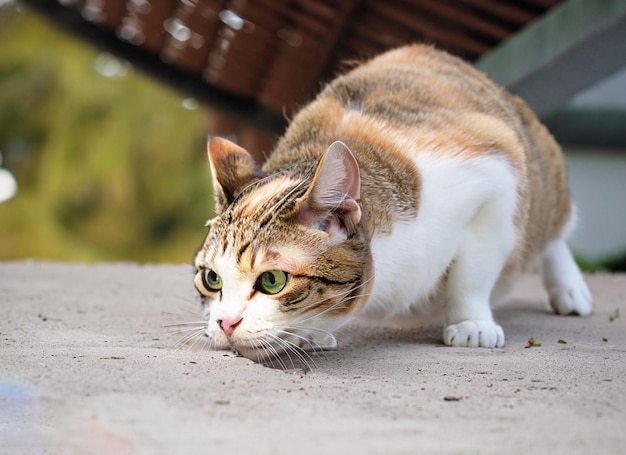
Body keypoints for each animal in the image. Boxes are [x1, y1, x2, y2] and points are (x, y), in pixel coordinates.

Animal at [193, 42, 592, 364]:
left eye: (272, 280)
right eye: (211, 278)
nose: (224, 322)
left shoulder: (496, 176)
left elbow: (474, 272)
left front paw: (471, 322)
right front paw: (314, 334)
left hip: (542, 172)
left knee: (553, 230)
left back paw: (570, 288)